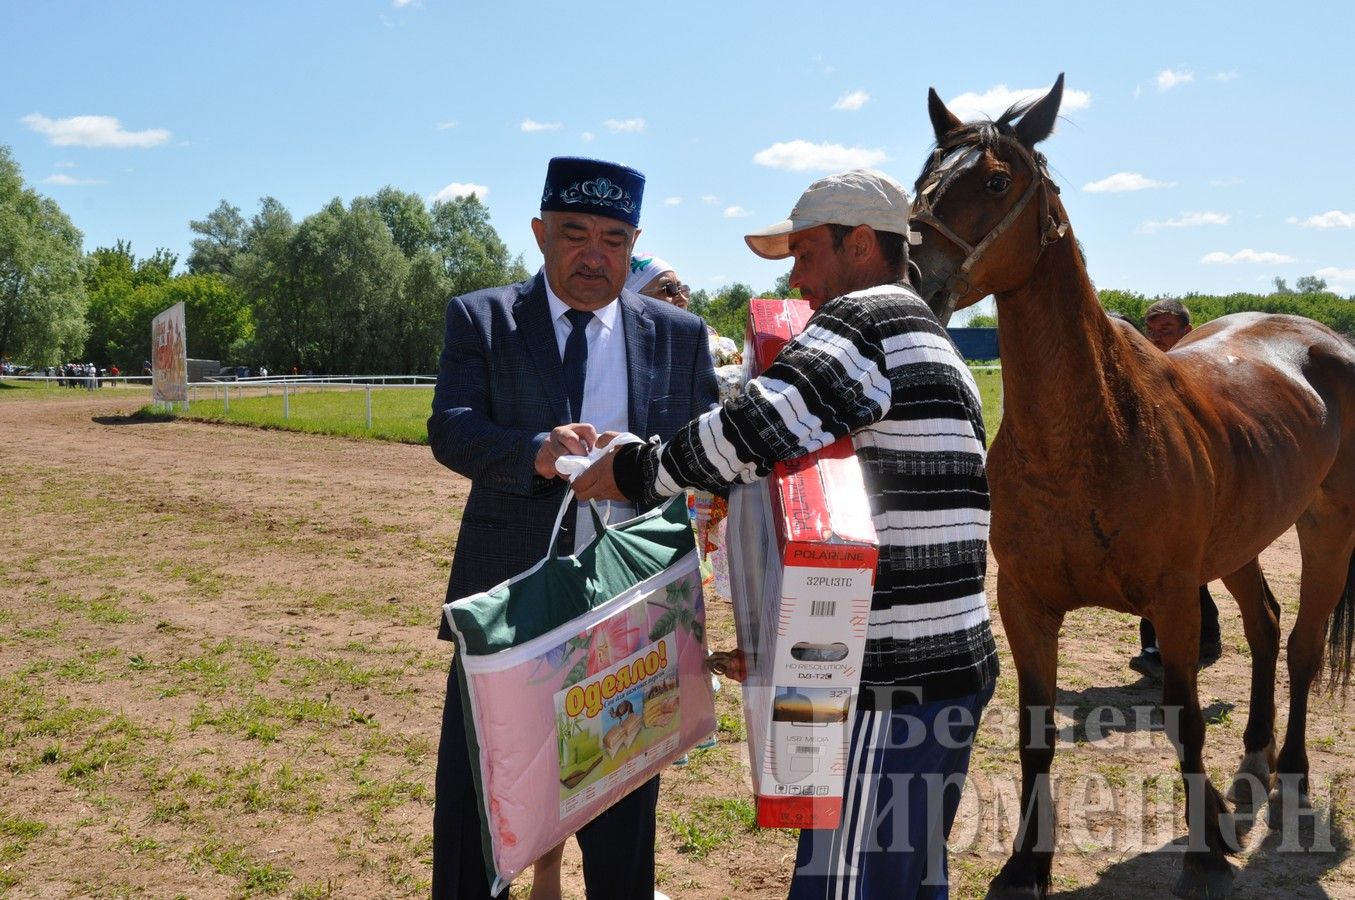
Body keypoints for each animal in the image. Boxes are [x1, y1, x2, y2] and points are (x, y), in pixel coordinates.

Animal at [905, 73, 1355, 894]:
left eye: (996, 180)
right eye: (923, 179)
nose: (911, 275)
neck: (1091, 434)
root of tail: (1321, 339)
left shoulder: (1172, 601)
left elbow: (1183, 720)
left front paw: (1205, 850)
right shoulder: (1025, 603)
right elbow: (1035, 734)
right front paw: (1026, 861)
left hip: (1327, 528)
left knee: (1303, 645)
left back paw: (1291, 768)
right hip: (1240, 543)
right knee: (1265, 625)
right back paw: (1253, 753)